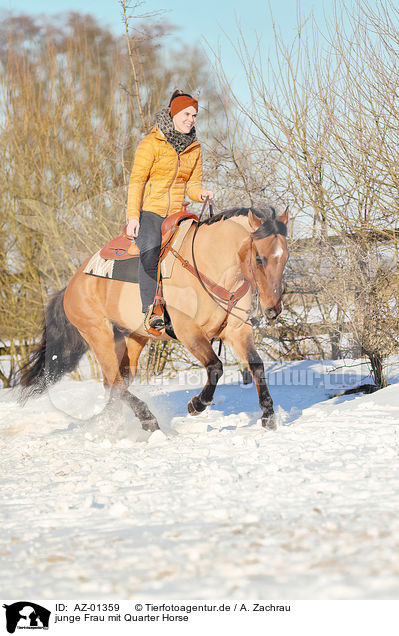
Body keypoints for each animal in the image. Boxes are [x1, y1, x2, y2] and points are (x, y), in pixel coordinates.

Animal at [18, 206, 290, 430]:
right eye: (259, 259)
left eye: (285, 257)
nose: (273, 309)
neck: (209, 266)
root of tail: (72, 285)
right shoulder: (188, 331)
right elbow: (215, 367)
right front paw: (196, 405)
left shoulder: (236, 330)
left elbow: (256, 364)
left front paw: (268, 415)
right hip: (99, 335)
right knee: (115, 382)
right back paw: (147, 420)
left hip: (132, 339)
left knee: (116, 382)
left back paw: (113, 423)